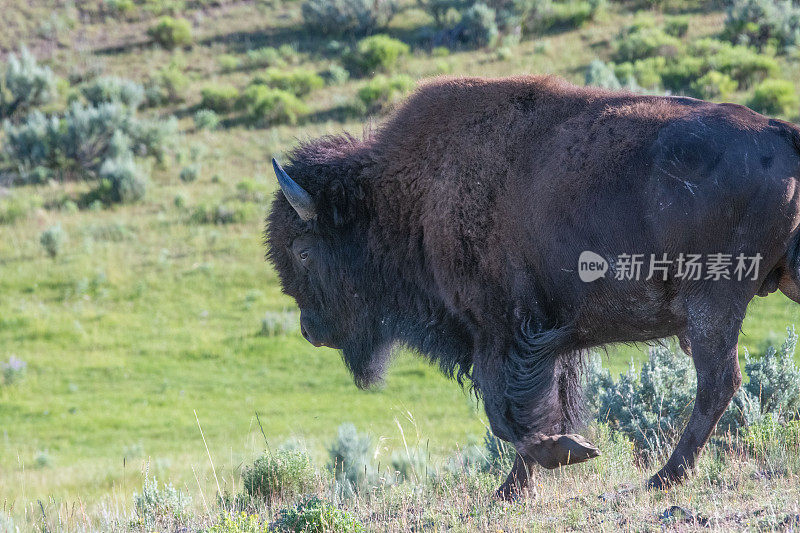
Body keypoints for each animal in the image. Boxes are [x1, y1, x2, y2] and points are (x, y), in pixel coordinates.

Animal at [266, 76, 800, 498]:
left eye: (303, 250)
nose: (310, 330)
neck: (411, 195)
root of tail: (781, 132)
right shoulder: (547, 339)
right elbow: (541, 405)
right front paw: (518, 485)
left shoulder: (501, 331)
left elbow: (508, 412)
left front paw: (567, 453)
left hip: (712, 304)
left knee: (718, 381)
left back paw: (663, 478)